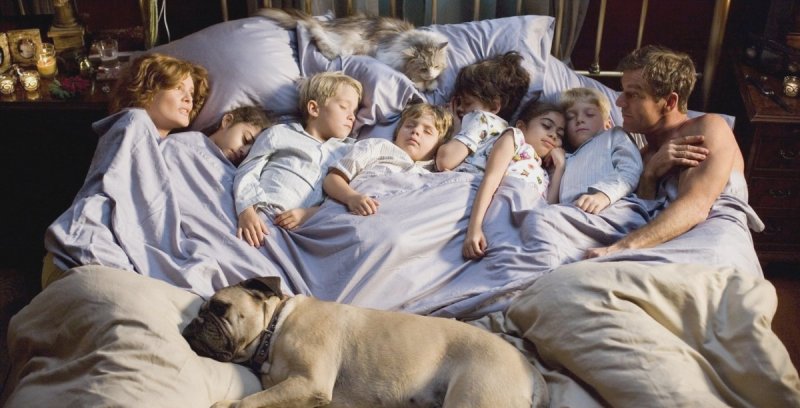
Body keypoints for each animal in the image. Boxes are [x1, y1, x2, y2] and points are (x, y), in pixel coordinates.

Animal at [182, 276, 548, 408]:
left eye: (218, 308)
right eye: (200, 312)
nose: (191, 325)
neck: (274, 329)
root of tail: (533, 371)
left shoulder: (310, 382)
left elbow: (246, 402)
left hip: (473, 399)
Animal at [258, 8, 448, 92]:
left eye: (436, 66)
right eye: (423, 68)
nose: (430, 74)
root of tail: (331, 23)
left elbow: (432, 83)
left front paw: (431, 83)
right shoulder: (388, 56)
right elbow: (416, 81)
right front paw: (422, 83)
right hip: (347, 44)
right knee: (315, 32)